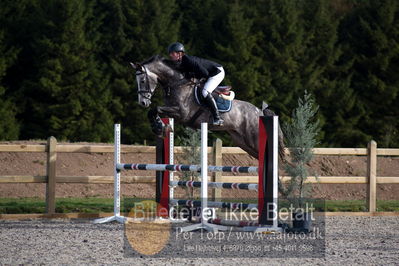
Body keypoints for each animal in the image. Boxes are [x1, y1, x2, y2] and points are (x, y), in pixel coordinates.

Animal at [130, 54, 284, 160]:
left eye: (142, 80)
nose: (143, 103)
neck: (176, 84)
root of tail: (260, 111)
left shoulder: (181, 113)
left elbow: (155, 109)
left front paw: (159, 127)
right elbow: (153, 112)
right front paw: (160, 127)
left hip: (254, 140)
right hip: (242, 142)